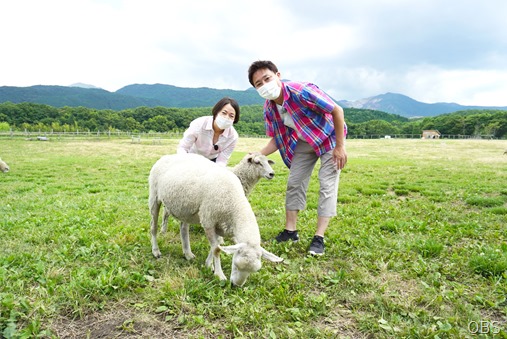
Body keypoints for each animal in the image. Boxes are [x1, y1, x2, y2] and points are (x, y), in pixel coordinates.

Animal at [149, 153, 284, 286]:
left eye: (253, 271)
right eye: (258, 162)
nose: (235, 286)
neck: (234, 202)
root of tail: (168, 156)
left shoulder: (221, 226)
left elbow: (217, 245)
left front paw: (209, 265)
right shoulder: (208, 221)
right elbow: (216, 249)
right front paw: (219, 274)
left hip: (184, 208)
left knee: (183, 228)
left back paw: (187, 253)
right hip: (154, 197)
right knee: (153, 226)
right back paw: (156, 250)